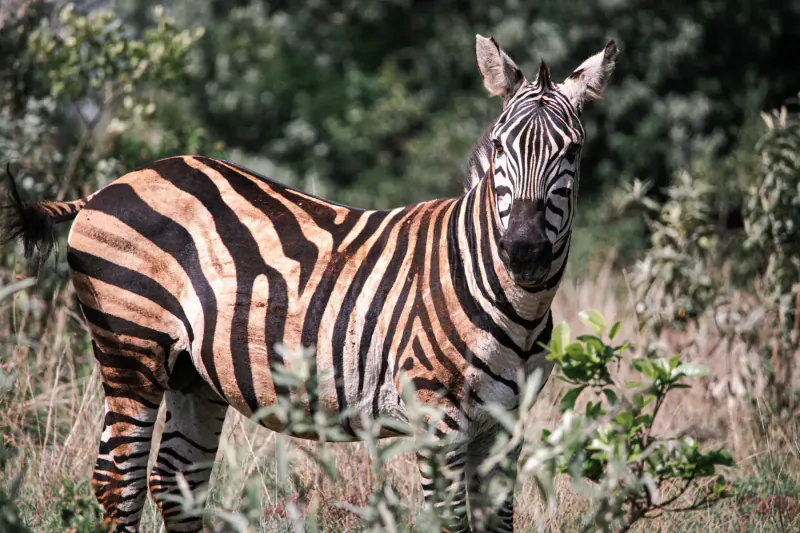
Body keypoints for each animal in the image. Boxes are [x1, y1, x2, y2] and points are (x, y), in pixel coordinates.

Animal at [1, 36, 617, 532]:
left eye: (572, 151)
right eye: (501, 148)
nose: (525, 251)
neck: (513, 303)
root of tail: (108, 186)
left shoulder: (504, 425)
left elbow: (499, 521)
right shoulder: (437, 417)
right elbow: (452, 521)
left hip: (191, 372)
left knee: (176, 484)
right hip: (130, 348)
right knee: (118, 482)